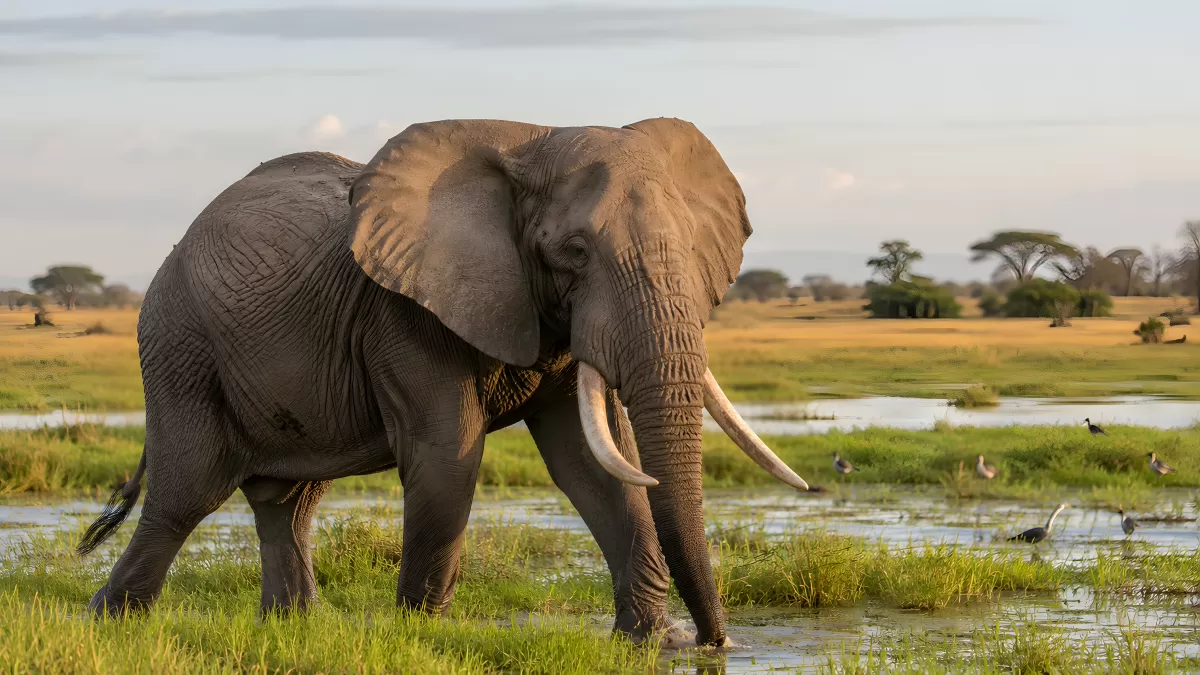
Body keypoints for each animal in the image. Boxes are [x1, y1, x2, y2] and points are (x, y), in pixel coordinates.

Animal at [76, 117, 808, 647]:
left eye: (690, 249)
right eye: (572, 253)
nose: (717, 643)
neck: (530, 143)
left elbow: (595, 466)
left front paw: (653, 642)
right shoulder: (404, 313)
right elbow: (448, 458)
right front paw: (418, 639)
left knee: (287, 500)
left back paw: (296, 629)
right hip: (180, 345)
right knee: (187, 493)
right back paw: (106, 625)